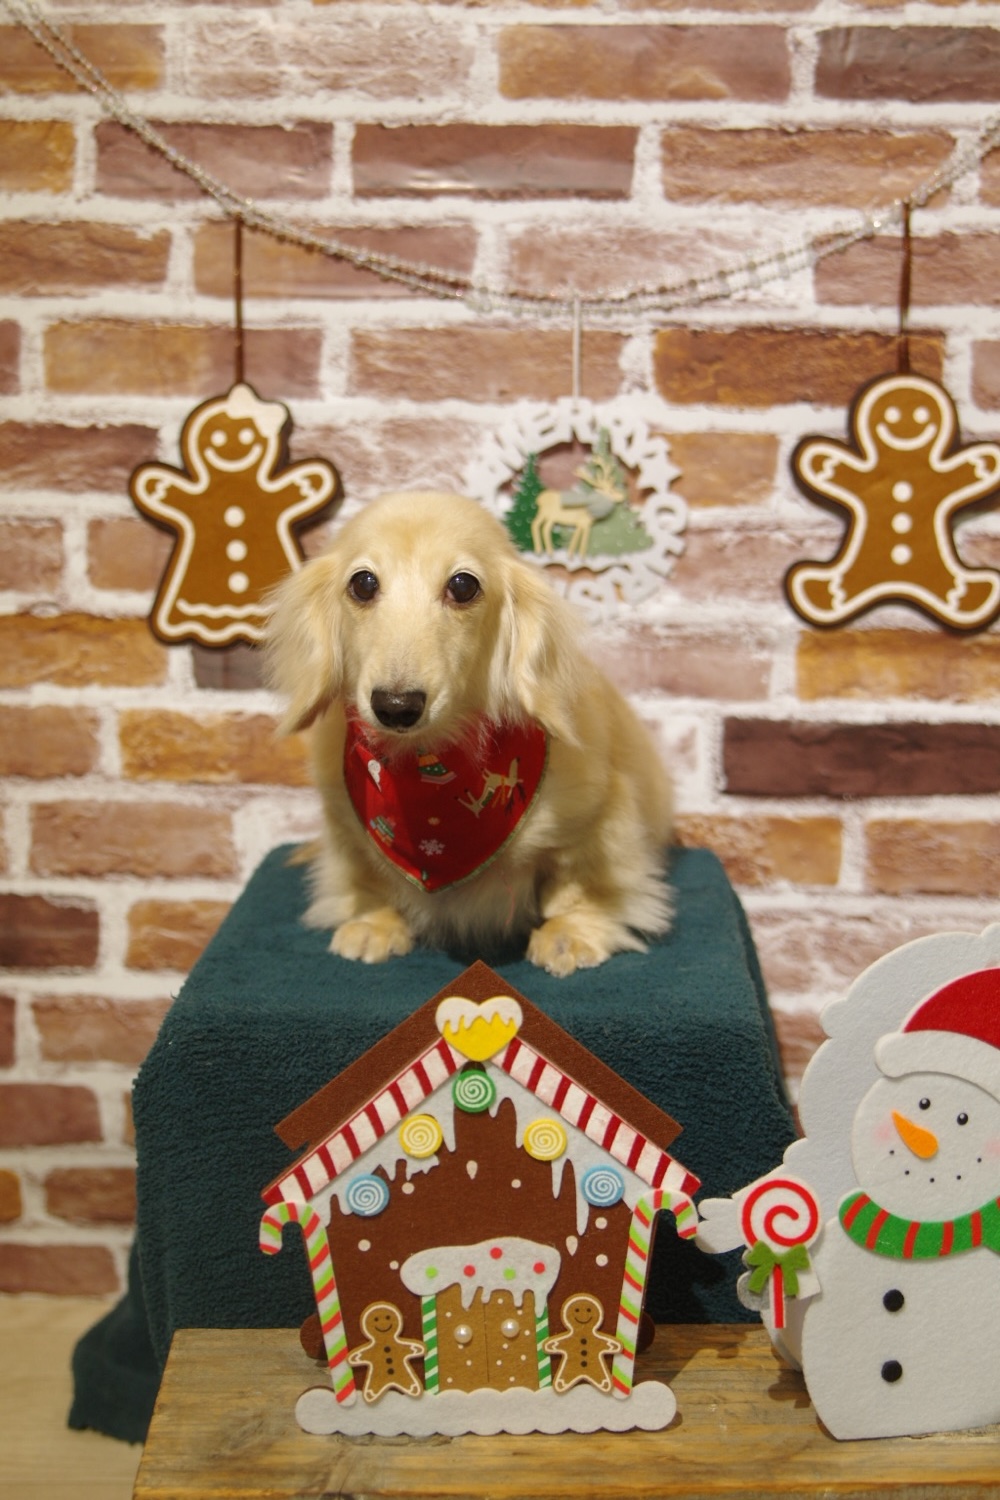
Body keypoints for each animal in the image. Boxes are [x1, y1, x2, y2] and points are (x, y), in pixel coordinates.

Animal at [265, 490, 674, 977]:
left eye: (463, 586)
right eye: (363, 584)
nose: (396, 706)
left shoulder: (601, 817)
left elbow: (582, 887)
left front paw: (571, 934)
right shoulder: (348, 829)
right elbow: (366, 879)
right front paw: (372, 923)